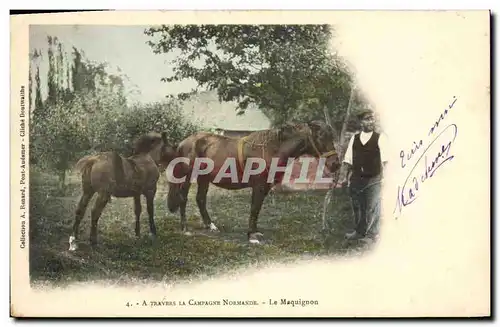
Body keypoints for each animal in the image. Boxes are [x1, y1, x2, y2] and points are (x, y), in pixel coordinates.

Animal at [166, 120, 342, 243]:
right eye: (320, 137)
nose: (335, 164)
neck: (272, 148)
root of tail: (184, 142)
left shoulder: (265, 187)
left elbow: (257, 209)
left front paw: (255, 231)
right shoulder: (258, 185)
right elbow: (254, 207)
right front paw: (252, 235)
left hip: (204, 177)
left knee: (200, 199)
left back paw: (210, 225)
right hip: (188, 176)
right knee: (183, 198)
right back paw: (185, 228)